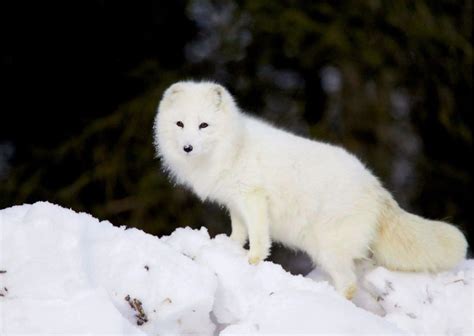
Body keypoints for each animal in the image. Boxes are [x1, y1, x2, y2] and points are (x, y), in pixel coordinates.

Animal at [154, 80, 468, 300]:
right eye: (180, 124)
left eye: (203, 125)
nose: (187, 147)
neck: (234, 147)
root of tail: (377, 188)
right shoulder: (235, 203)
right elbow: (239, 232)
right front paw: (228, 246)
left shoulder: (253, 197)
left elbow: (258, 237)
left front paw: (252, 260)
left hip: (327, 249)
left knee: (349, 286)